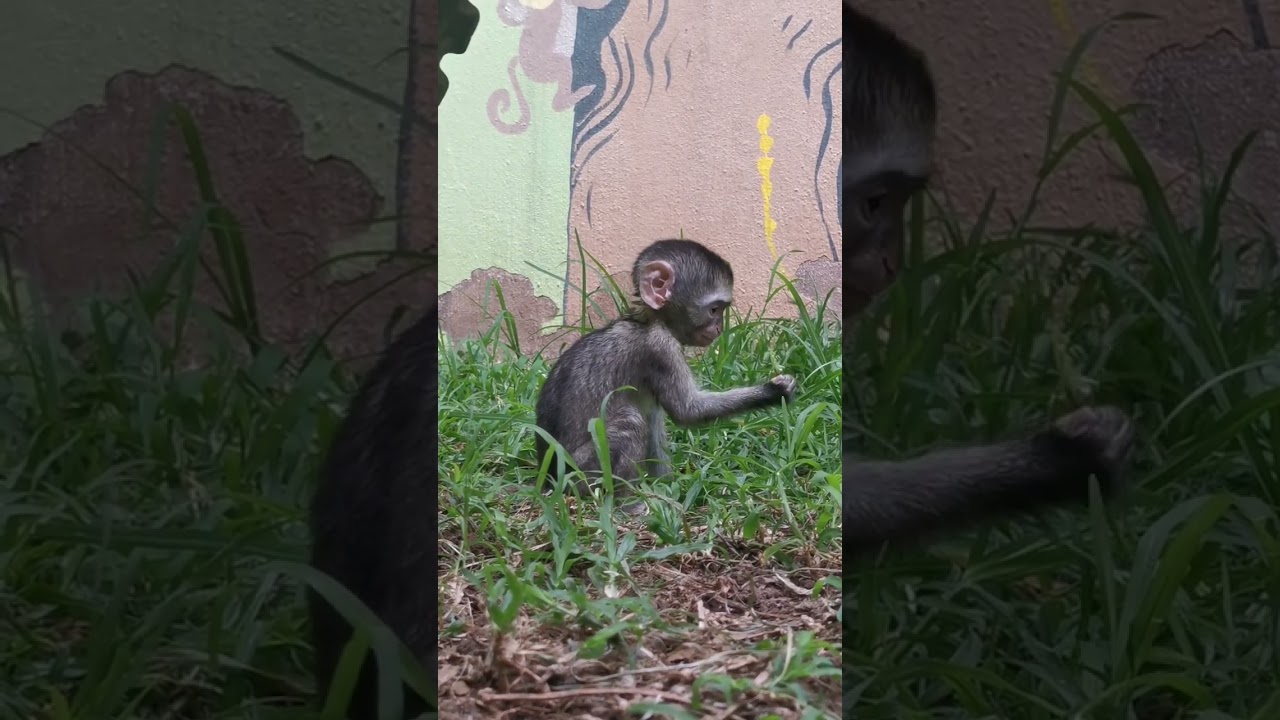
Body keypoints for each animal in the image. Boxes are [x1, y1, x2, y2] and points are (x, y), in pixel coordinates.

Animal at [533, 239, 797, 503]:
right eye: (714, 310)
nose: (719, 328)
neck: (647, 321)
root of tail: (550, 479)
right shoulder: (661, 348)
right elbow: (687, 411)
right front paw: (774, 391)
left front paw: (665, 484)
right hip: (581, 473)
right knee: (630, 422)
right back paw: (629, 502)